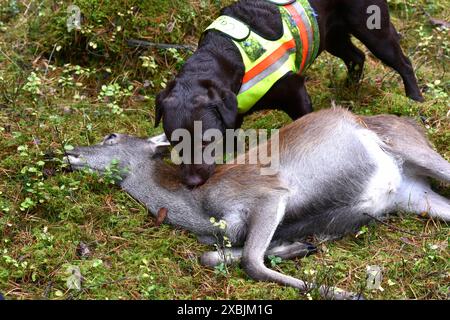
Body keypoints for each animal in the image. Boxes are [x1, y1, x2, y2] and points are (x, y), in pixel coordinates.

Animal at [155, 0, 422, 188]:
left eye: (206, 140)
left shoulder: (296, 93)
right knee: (357, 57)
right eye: (174, 140)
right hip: (333, 36)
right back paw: (348, 90)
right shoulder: (232, 116)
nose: (192, 183)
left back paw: (415, 99)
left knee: (404, 63)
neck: (229, 56)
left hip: (373, 29)